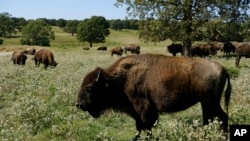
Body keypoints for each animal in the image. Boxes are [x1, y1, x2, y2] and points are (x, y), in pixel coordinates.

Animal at [75, 53, 231, 140]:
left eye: (89, 88)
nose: (79, 104)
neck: (123, 78)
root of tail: (222, 68)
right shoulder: (136, 111)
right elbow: (139, 126)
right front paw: (135, 138)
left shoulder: (143, 109)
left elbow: (147, 126)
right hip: (206, 103)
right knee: (209, 119)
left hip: (211, 102)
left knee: (222, 117)